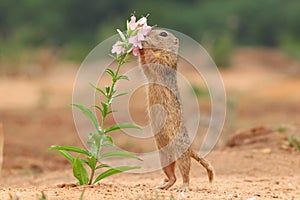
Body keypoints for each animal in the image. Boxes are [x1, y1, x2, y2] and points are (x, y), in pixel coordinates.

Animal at [139, 29, 214, 191]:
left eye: (163, 34)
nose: (146, 33)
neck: (161, 50)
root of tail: (190, 148)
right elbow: (144, 65)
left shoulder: (166, 61)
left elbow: (154, 61)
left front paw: (143, 44)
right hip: (164, 158)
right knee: (172, 176)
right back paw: (163, 186)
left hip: (180, 153)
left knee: (185, 173)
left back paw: (184, 187)